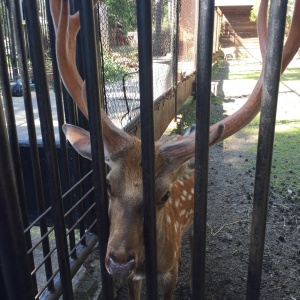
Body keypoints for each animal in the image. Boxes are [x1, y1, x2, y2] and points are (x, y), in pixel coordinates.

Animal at [49, 0, 300, 298]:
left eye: (165, 195)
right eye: (109, 185)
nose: (119, 263)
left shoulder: (172, 268)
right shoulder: (135, 278)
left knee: (194, 237)